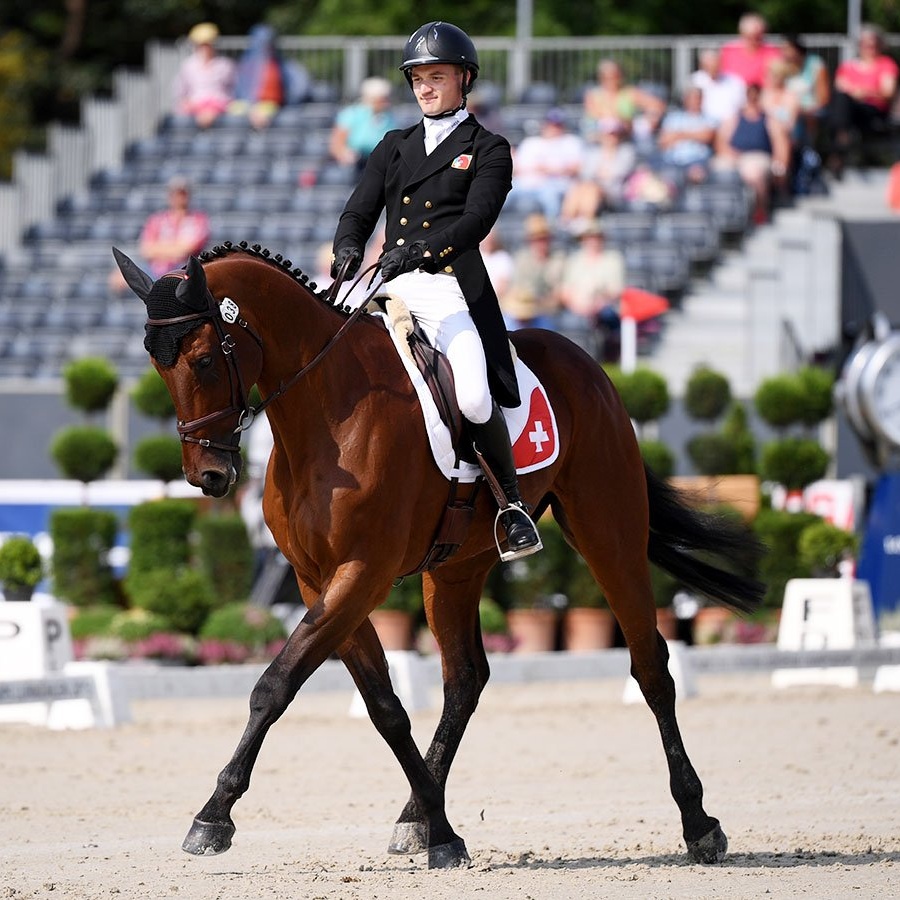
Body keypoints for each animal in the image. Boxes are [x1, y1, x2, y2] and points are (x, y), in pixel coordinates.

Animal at [109, 243, 764, 868]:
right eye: (157, 364)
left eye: (202, 359)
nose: (209, 476)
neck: (327, 412)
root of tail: (586, 363)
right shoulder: (318, 581)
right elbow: (383, 705)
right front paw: (438, 830)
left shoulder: (362, 575)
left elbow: (276, 684)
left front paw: (212, 817)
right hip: (455, 568)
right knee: (465, 679)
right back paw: (414, 818)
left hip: (608, 530)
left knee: (651, 665)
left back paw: (700, 825)